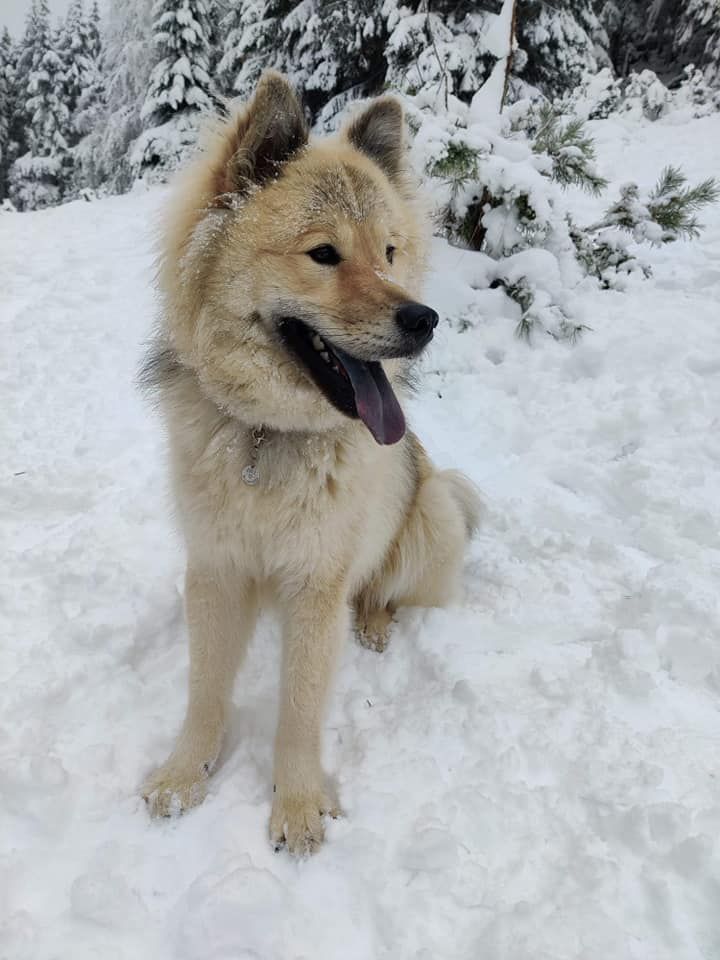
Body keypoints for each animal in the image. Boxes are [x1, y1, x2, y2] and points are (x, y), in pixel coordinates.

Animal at [141, 75, 480, 856]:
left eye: (389, 252)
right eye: (324, 254)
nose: (424, 320)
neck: (270, 438)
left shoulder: (317, 584)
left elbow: (299, 705)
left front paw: (296, 806)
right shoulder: (215, 567)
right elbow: (205, 688)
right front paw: (185, 773)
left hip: (434, 509)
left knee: (387, 587)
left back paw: (377, 623)